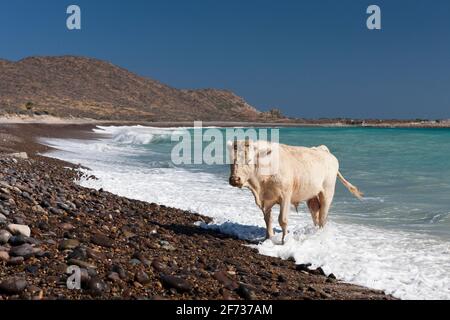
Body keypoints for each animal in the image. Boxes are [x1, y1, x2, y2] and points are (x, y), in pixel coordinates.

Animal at [229, 139, 362, 244]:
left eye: (249, 160)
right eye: (231, 160)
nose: (234, 179)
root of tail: (322, 150)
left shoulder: (285, 196)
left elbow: (282, 220)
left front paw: (284, 241)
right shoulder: (265, 200)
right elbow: (268, 219)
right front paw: (268, 238)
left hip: (327, 192)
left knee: (323, 217)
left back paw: (320, 235)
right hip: (312, 196)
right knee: (316, 213)